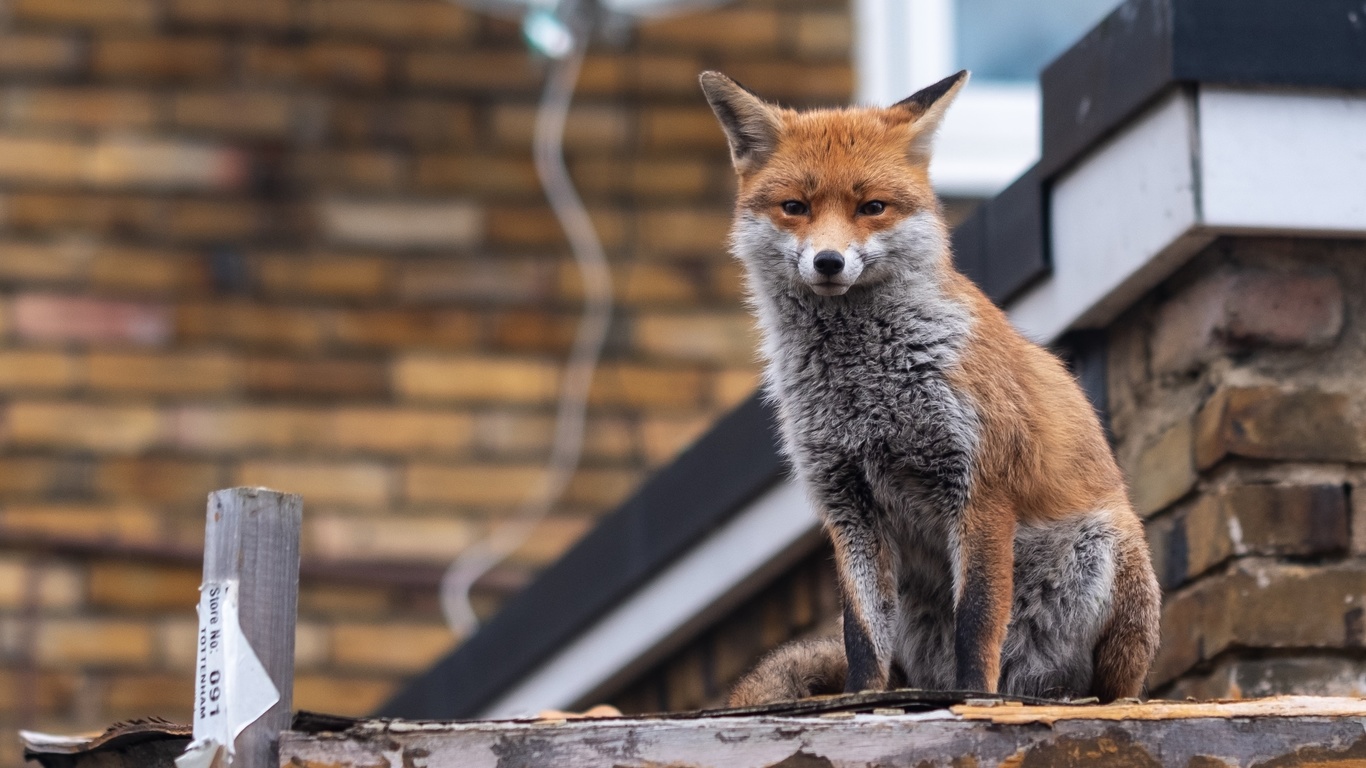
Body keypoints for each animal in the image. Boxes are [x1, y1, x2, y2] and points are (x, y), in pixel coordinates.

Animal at [704, 68, 1163, 705]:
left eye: (871, 207)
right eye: (795, 207)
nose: (828, 262)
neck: (866, 389)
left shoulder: (980, 487)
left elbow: (977, 619)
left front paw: (974, 698)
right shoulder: (847, 504)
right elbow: (861, 635)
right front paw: (861, 700)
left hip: (1106, 549)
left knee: (1110, 684)